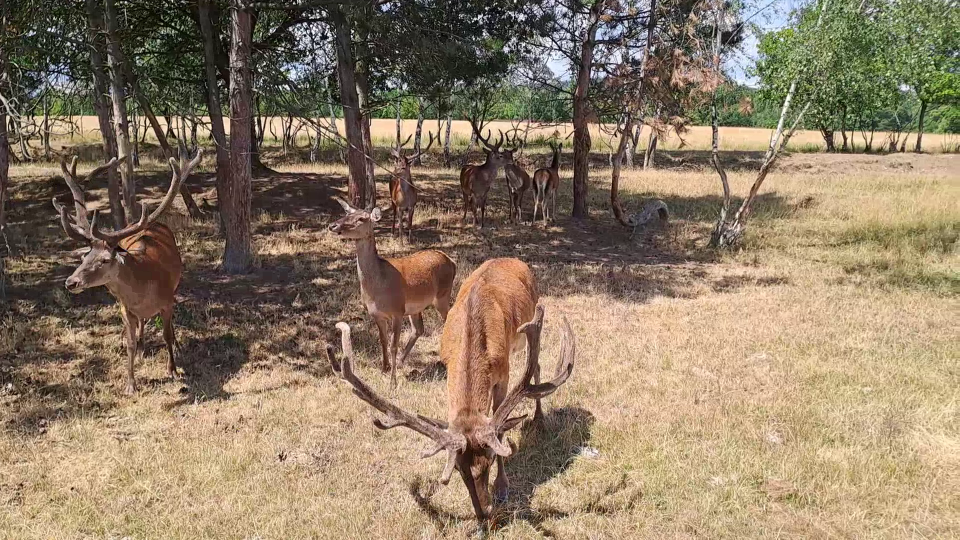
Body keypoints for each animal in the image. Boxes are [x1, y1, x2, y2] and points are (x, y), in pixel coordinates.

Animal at [52, 150, 202, 394]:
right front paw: (131, 384)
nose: (71, 282)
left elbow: (167, 335)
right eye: (85, 257)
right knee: (142, 324)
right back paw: (142, 347)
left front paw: (172, 370)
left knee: (167, 327)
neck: (143, 291)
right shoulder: (125, 309)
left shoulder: (167, 301)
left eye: (104, 259)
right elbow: (129, 344)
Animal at [330, 196, 458, 386]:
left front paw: (393, 382)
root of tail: (452, 262)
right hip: (416, 307)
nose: (333, 225)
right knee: (418, 329)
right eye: (347, 214)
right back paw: (402, 361)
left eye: (362, 218)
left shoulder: (397, 311)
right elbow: (383, 341)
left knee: (448, 318)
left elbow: (393, 345)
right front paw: (385, 369)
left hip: (442, 294)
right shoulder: (376, 314)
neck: (376, 290)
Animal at [330, 258, 572, 524]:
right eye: (457, 468)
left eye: (490, 458)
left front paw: (502, 486)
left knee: (536, 364)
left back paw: (539, 418)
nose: (483, 513)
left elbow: (500, 421)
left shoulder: (504, 374)